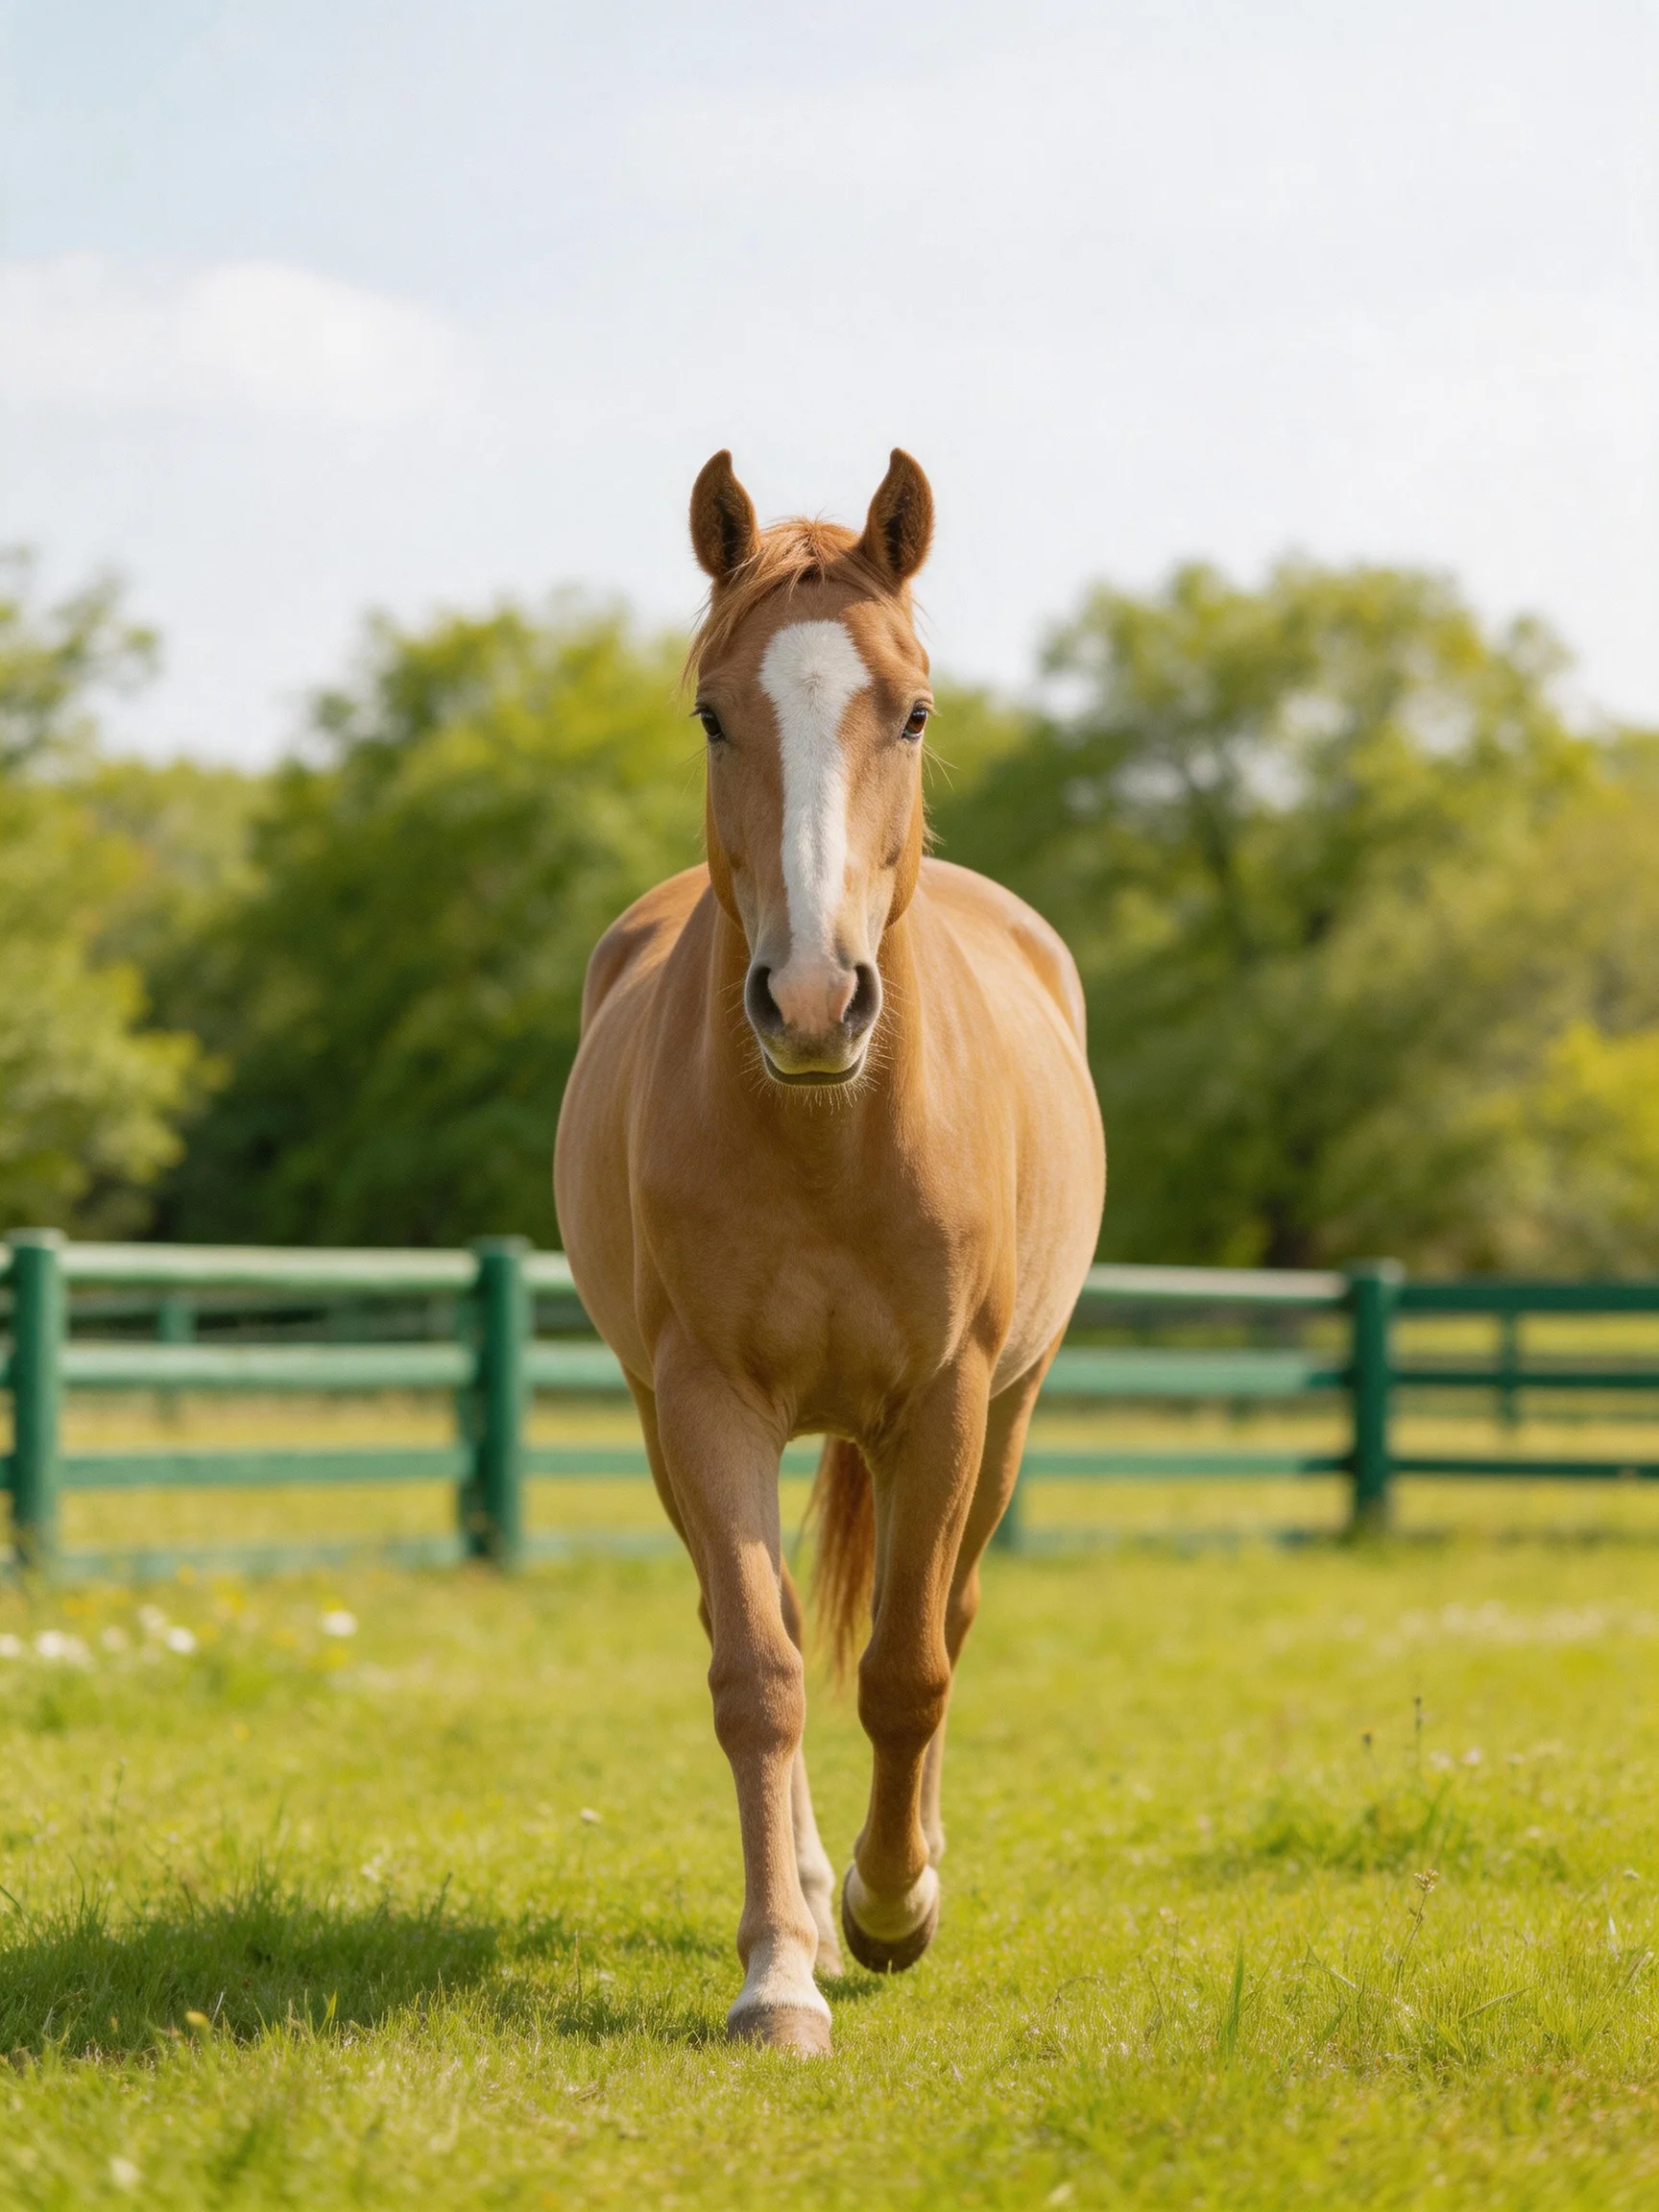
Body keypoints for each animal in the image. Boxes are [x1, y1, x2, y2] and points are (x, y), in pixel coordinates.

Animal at [553, 449, 1104, 2056]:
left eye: (911, 709)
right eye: (710, 711)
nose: (811, 1000)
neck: (826, 1137)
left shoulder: (948, 1403)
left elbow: (910, 1666)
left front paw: (892, 1905)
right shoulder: (707, 1405)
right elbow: (762, 1670)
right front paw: (781, 1972)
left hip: (1010, 1414)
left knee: (946, 1617)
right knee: (783, 1632)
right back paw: (804, 1887)